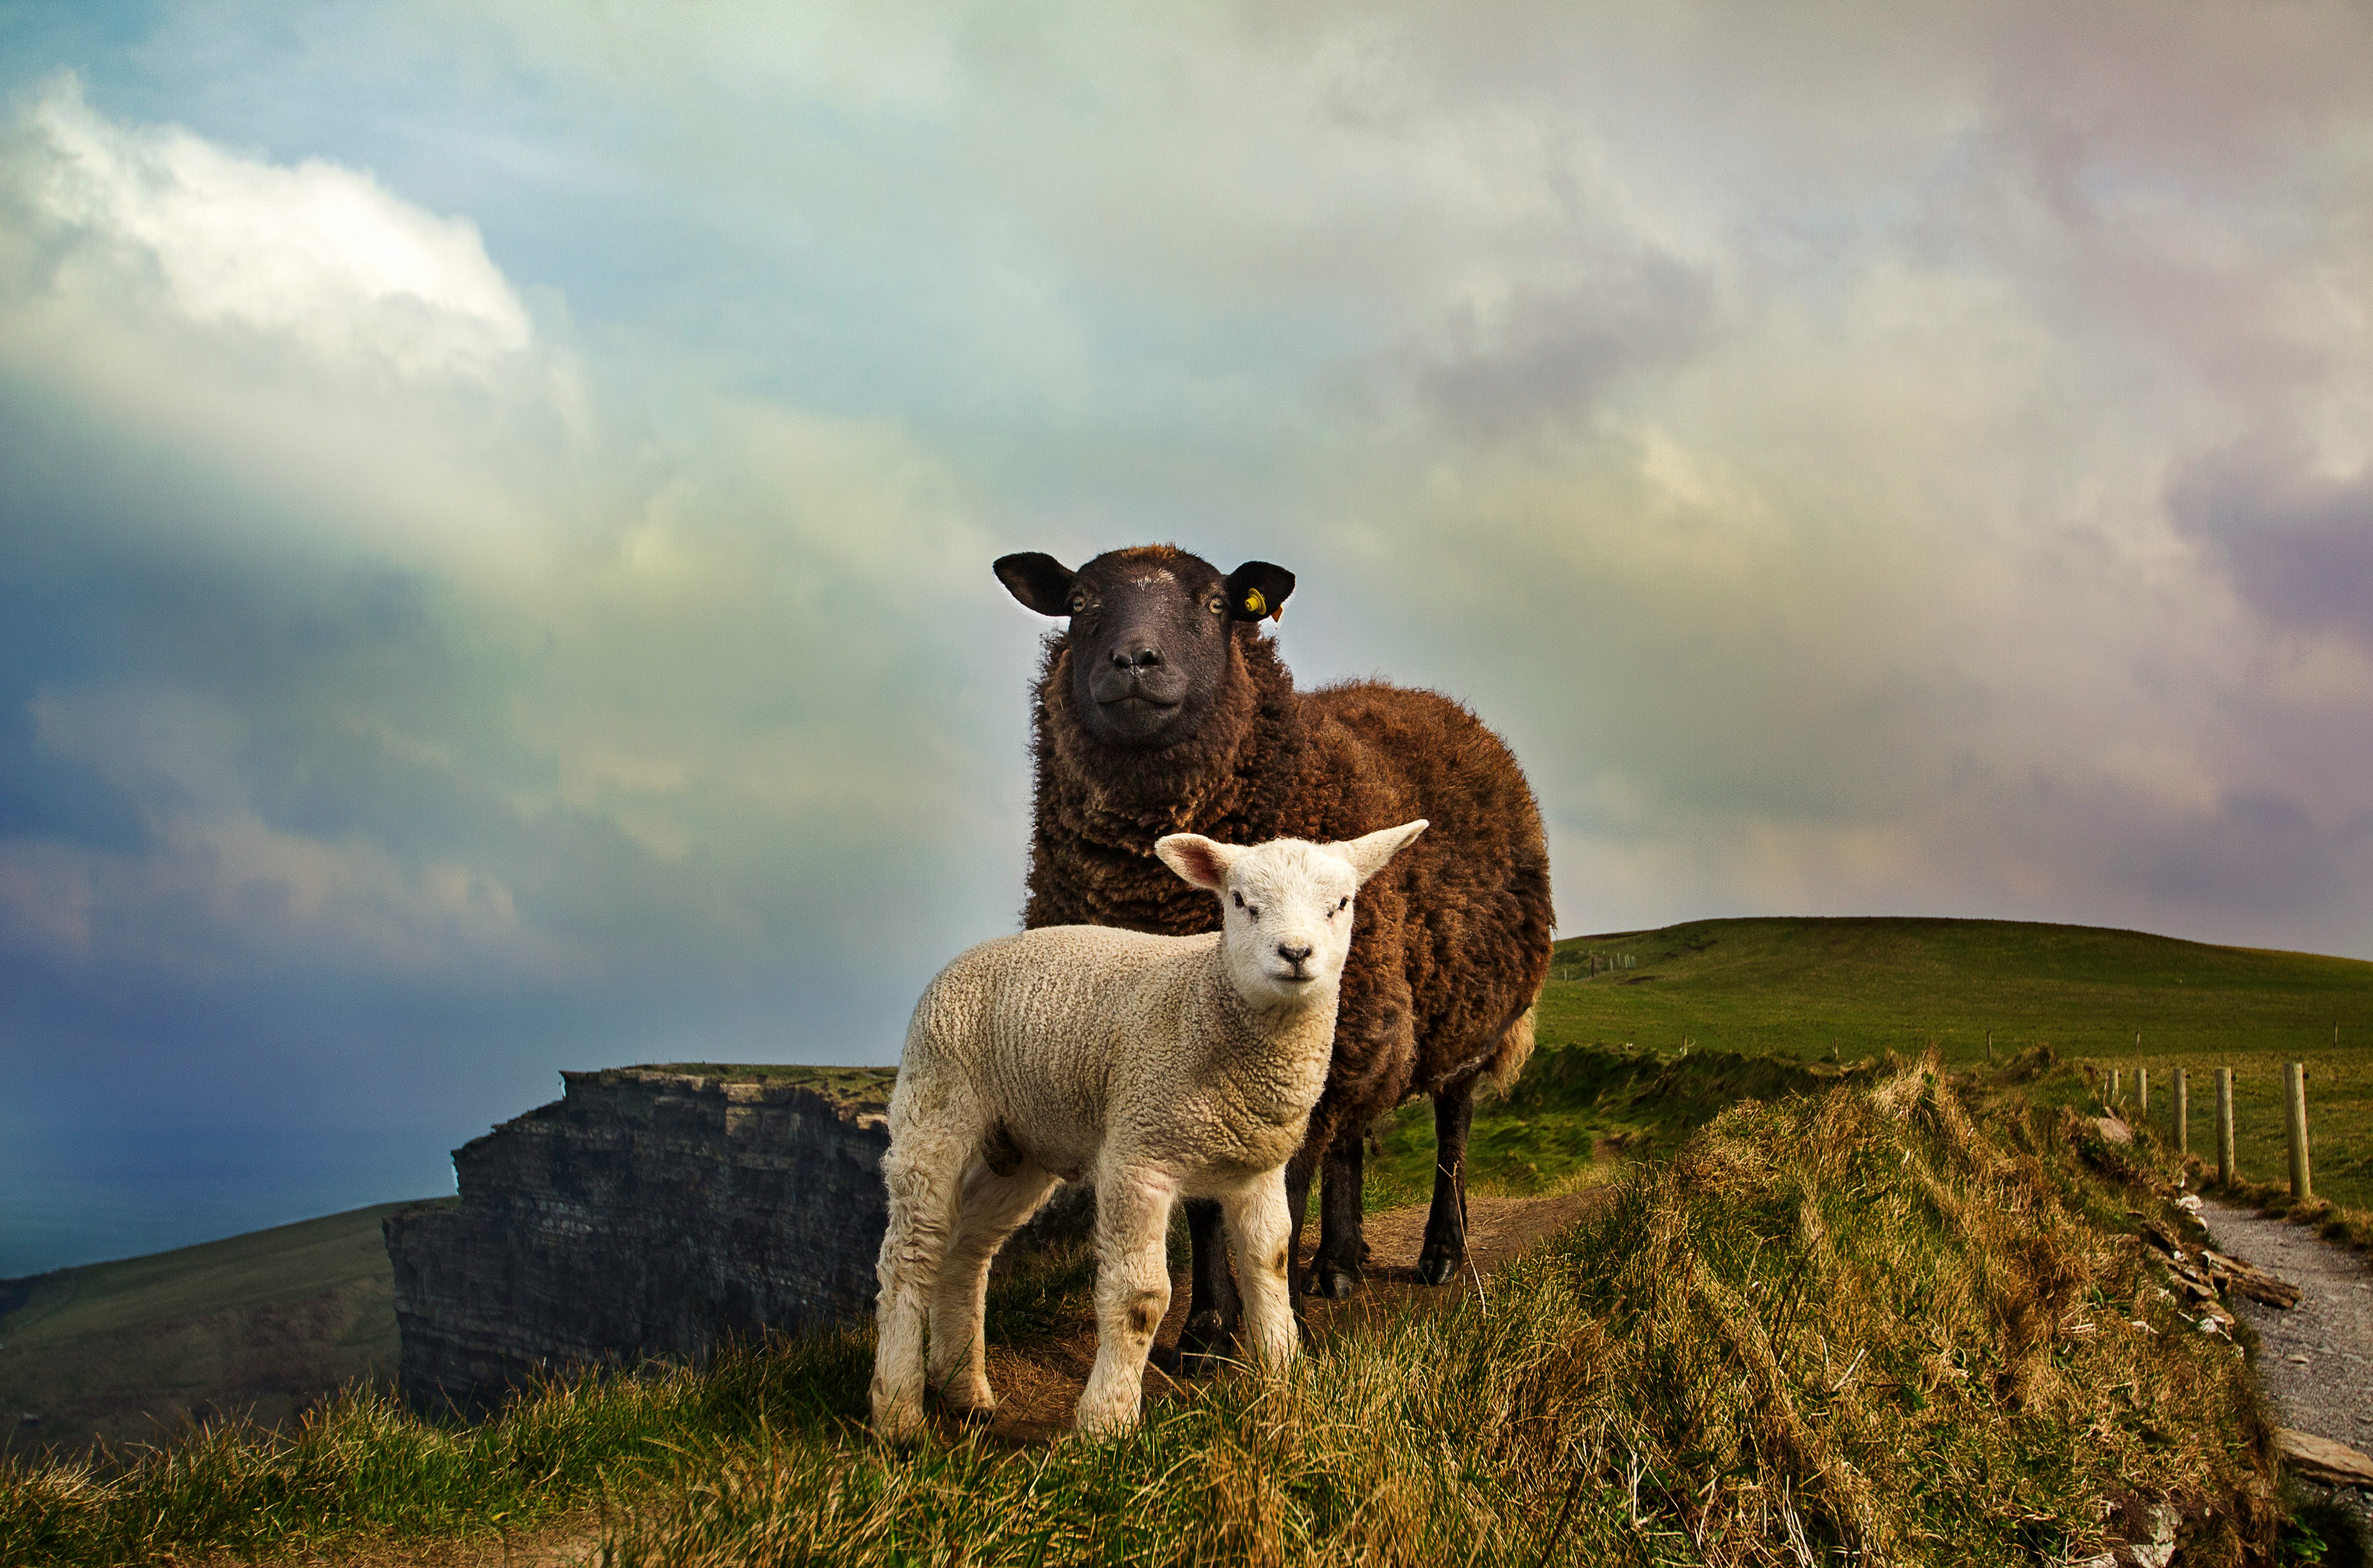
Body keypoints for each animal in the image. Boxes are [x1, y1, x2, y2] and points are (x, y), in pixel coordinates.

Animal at [873, 811, 1424, 1432]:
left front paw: (1286, 1385)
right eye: (1240, 901)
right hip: (936, 1103)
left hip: (1021, 1145)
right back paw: (898, 1413)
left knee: (966, 1250)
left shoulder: (1257, 1169)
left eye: (1342, 903)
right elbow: (1141, 1297)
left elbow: (1271, 1266)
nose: (1296, 952)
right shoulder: (1139, 1154)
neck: (1207, 1003)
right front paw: (1106, 1421)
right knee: (911, 1254)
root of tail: (965, 957)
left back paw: (963, 1389)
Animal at [987, 541, 1556, 1366]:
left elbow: (1276, 1196)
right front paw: (1204, 1333)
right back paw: (1338, 1265)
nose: (1134, 660)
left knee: (1451, 1127)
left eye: (1216, 604)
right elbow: (1206, 1207)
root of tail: (1435, 700)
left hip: (1461, 1016)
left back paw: (1441, 1254)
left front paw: (1265, 1332)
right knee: (1352, 1137)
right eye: (1081, 602)